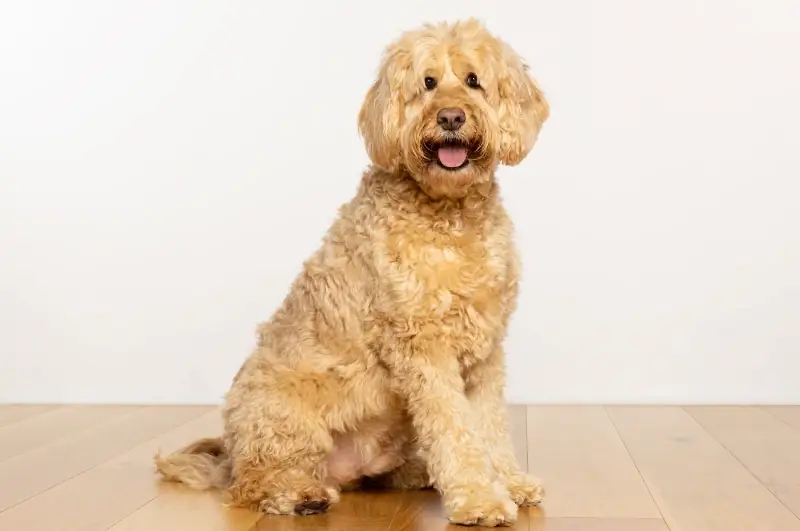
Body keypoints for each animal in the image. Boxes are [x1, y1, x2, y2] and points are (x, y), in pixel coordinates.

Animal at [154, 17, 548, 528]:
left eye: (473, 80)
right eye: (427, 83)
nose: (450, 118)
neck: (450, 214)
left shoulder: (483, 352)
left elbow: (488, 425)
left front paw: (509, 481)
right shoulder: (422, 350)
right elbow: (454, 429)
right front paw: (479, 499)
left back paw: (417, 472)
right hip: (283, 419)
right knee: (253, 483)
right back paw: (301, 495)